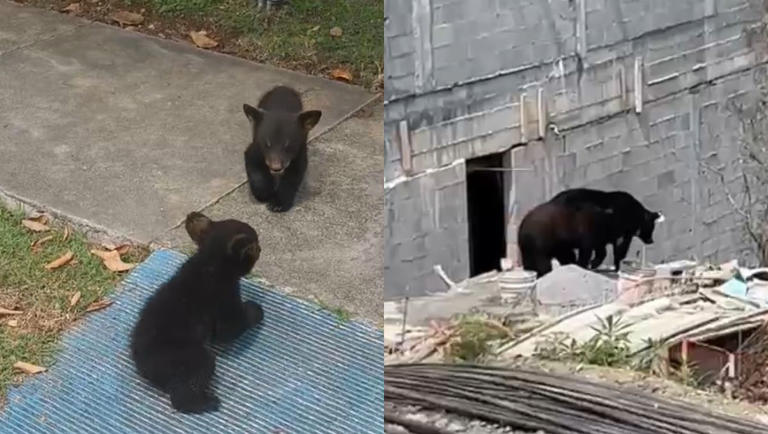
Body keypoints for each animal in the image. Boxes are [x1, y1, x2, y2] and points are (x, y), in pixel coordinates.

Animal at [129, 212, 264, 414]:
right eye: (255, 246)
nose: (261, 248)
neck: (209, 261)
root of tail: (144, 367)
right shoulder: (224, 295)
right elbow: (229, 329)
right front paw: (255, 310)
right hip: (187, 356)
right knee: (191, 380)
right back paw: (206, 402)